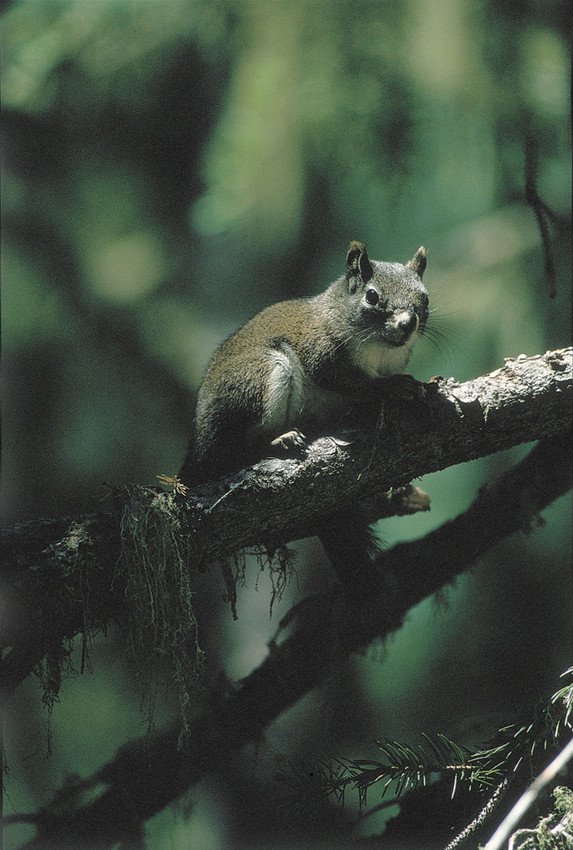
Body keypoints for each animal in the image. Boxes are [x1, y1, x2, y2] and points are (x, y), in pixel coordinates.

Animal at [180, 241, 428, 588]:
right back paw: (278, 441)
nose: (407, 324)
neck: (379, 350)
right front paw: (394, 386)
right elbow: (349, 381)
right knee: (234, 453)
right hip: (258, 378)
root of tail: (197, 447)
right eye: (372, 296)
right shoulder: (320, 350)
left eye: (424, 298)